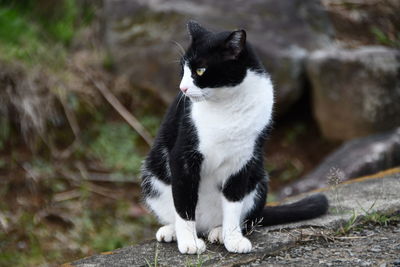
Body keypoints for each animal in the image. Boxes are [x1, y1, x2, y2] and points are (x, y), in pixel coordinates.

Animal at [141, 21, 328, 255]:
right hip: (152, 175)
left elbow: (233, 201)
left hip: (259, 178)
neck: (227, 104)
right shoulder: (182, 156)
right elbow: (184, 203)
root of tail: (204, 225)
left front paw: (233, 239)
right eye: (183, 70)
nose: (182, 88)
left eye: (200, 70)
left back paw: (218, 232)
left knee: (244, 218)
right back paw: (173, 231)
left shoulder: (243, 160)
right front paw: (189, 242)